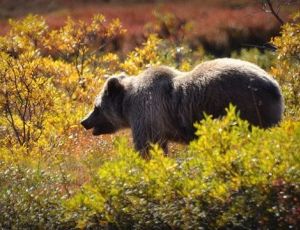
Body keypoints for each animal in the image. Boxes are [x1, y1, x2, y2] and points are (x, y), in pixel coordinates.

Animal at [81, 58, 284, 157]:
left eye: (96, 107)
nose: (84, 121)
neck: (127, 105)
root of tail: (273, 85)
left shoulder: (148, 113)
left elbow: (147, 146)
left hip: (245, 106)